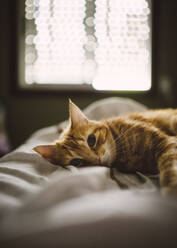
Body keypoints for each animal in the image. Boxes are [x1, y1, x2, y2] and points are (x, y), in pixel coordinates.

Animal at [34, 99, 177, 196]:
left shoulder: (166, 142)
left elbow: (169, 166)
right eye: (76, 162)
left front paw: (171, 190)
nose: (97, 159)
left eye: (91, 140)